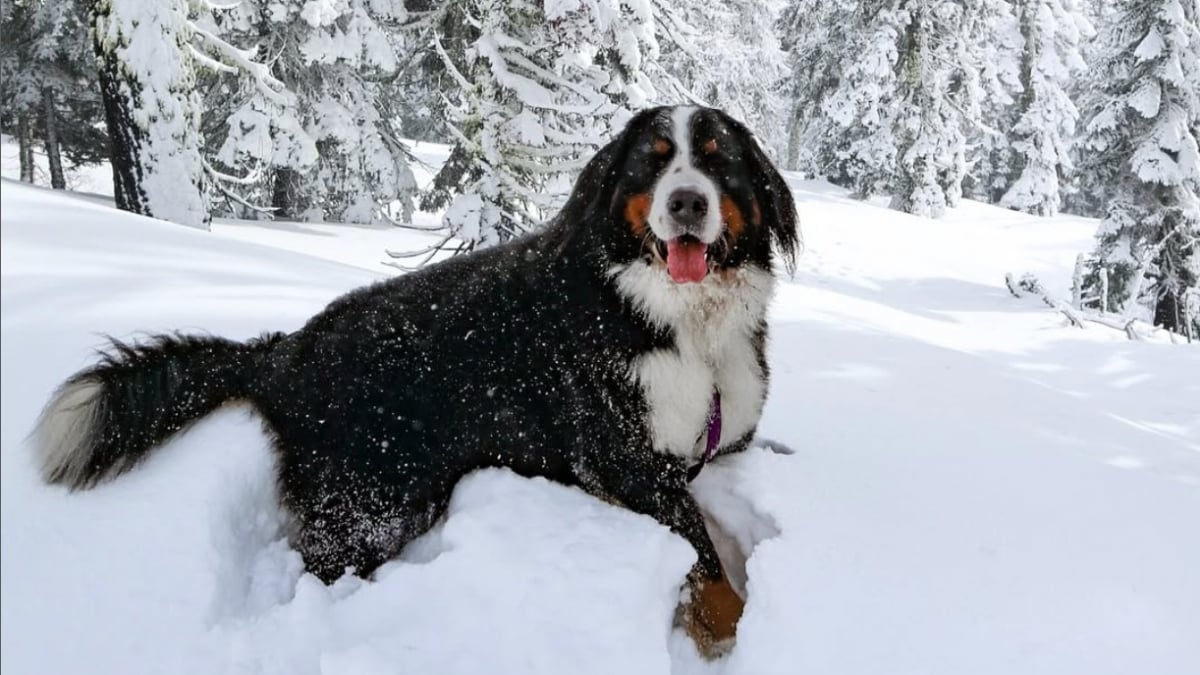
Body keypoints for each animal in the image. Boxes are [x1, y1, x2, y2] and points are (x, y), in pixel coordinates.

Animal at [32, 106, 801, 658]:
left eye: (718, 161)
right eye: (653, 161)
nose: (687, 203)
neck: (679, 322)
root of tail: (286, 349)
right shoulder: (620, 457)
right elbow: (704, 557)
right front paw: (733, 630)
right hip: (368, 500)